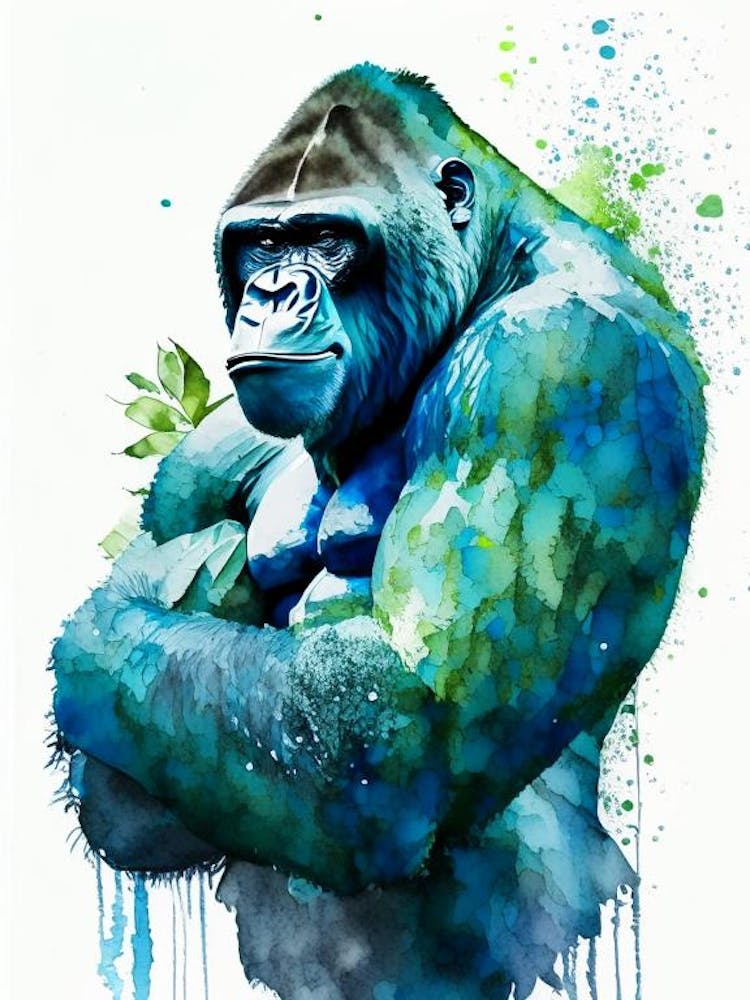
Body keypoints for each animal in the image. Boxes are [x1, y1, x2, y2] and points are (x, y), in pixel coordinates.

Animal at [52, 64, 706, 998]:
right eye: (261, 245)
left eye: (327, 239)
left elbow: (388, 722)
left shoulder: (560, 362)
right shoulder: (202, 456)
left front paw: (115, 614)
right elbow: (126, 800)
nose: (272, 294)